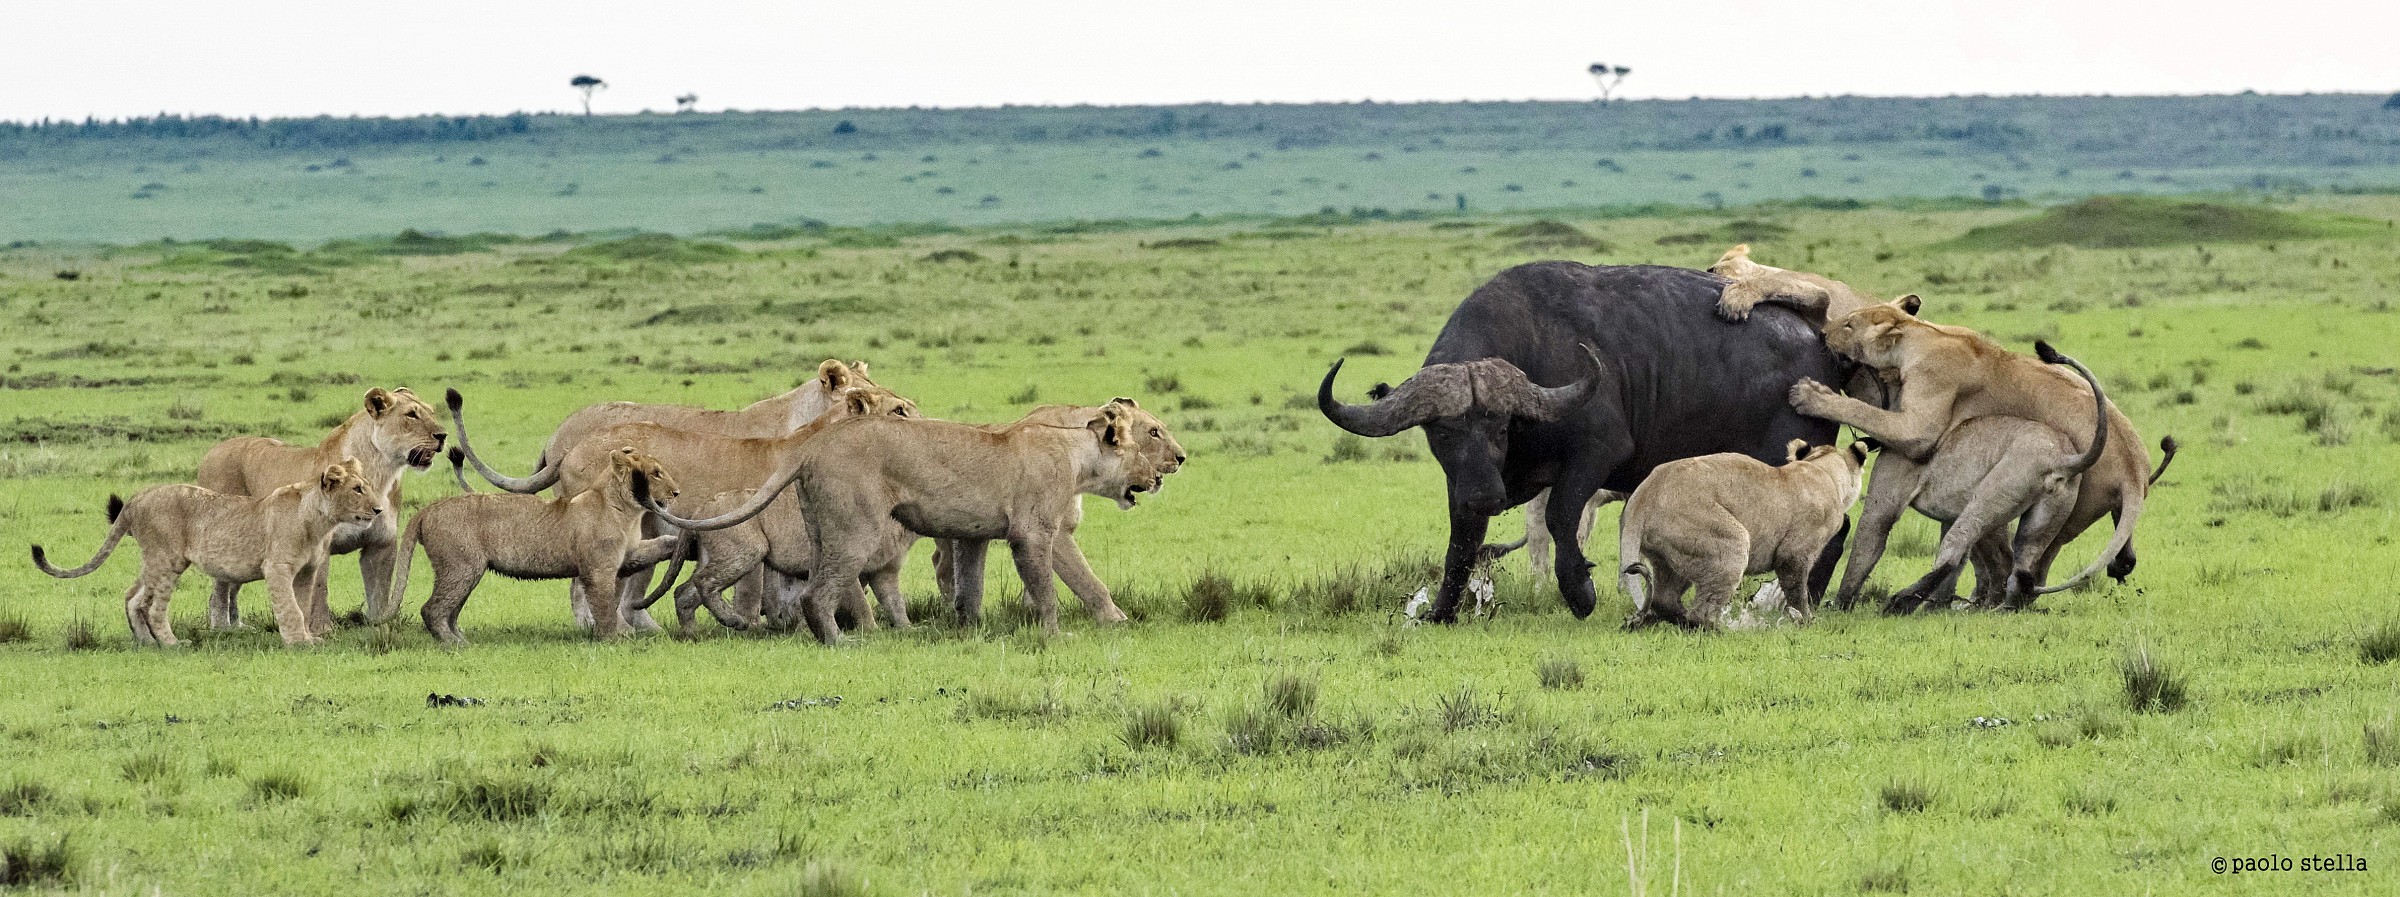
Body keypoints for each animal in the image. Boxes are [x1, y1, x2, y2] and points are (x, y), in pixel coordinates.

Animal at [1319, 262, 1853, 624]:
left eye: (1500, 427)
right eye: (1443, 431)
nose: (1488, 496)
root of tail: (1819, 340)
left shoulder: (1596, 456)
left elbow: (1560, 517)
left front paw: (1580, 593)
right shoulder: (1464, 484)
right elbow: (1462, 542)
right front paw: (1442, 611)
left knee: (1836, 526)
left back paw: (1807, 597)